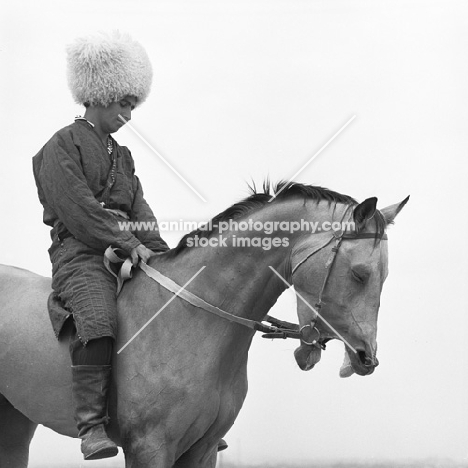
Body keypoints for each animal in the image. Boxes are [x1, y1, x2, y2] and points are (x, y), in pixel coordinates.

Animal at [0, 181, 408, 466]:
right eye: (359, 274)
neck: (192, 320)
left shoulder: (203, 449)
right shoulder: (150, 448)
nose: (366, 358)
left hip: (16, 426)